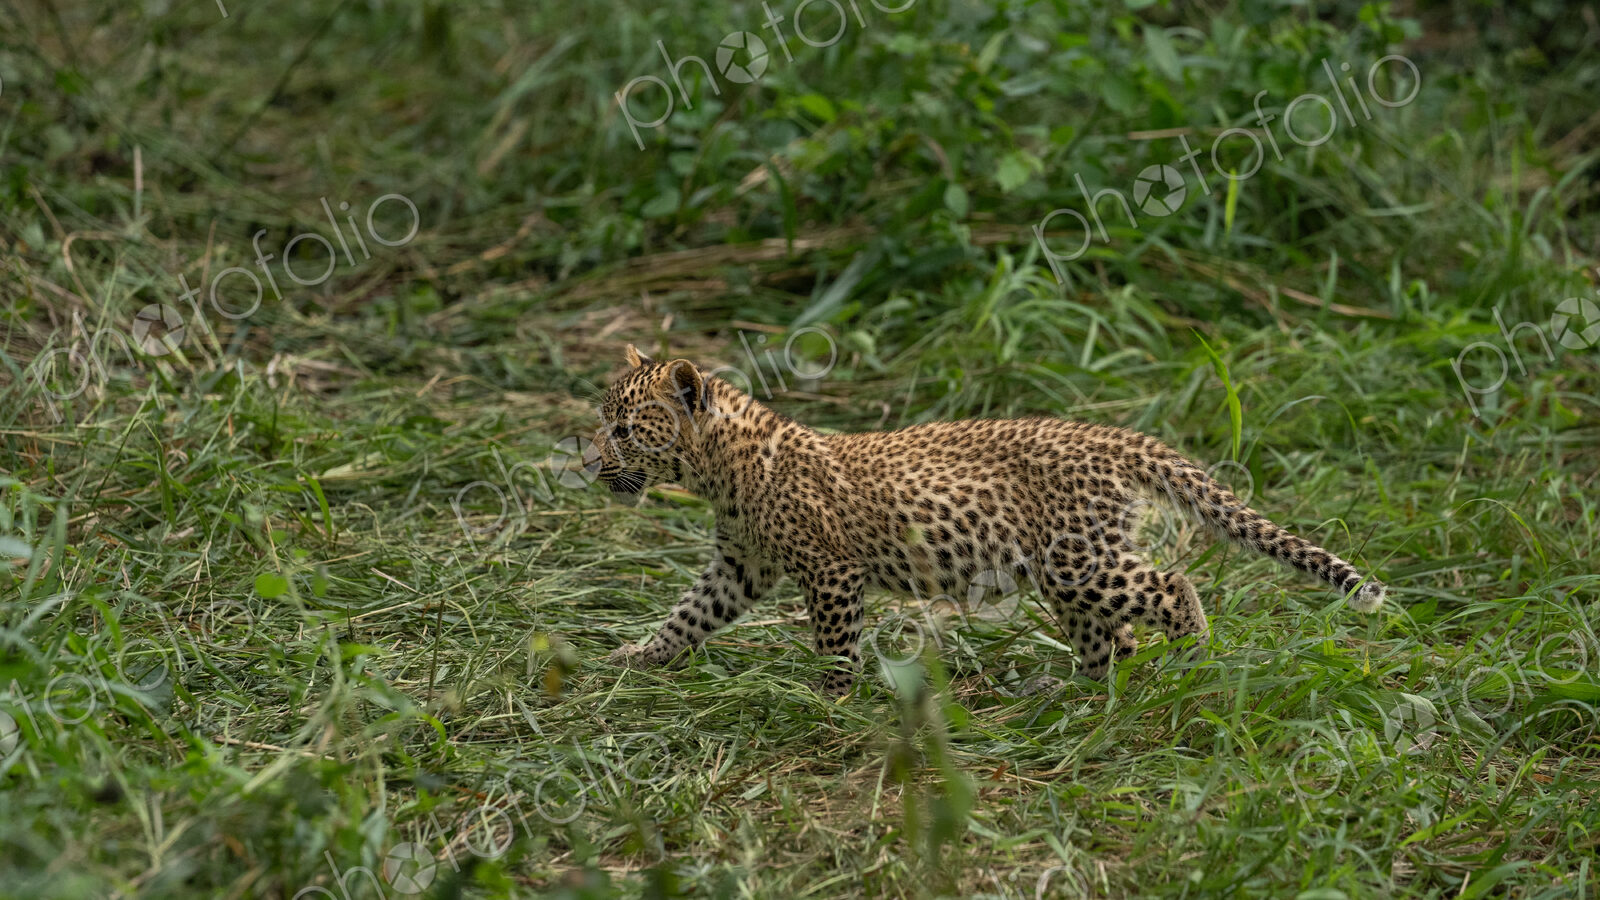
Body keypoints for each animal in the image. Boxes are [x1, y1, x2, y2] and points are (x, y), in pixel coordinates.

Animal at [591, 344, 1385, 696]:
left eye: (625, 430)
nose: (591, 463)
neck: (717, 470)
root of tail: (1115, 436)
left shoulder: (831, 571)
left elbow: (835, 643)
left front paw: (832, 699)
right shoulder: (741, 565)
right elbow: (689, 614)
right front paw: (638, 658)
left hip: (1081, 560)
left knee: (1170, 587)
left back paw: (1192, 660)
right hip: (1071, 575)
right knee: (1111, 633)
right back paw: (1080, 697)